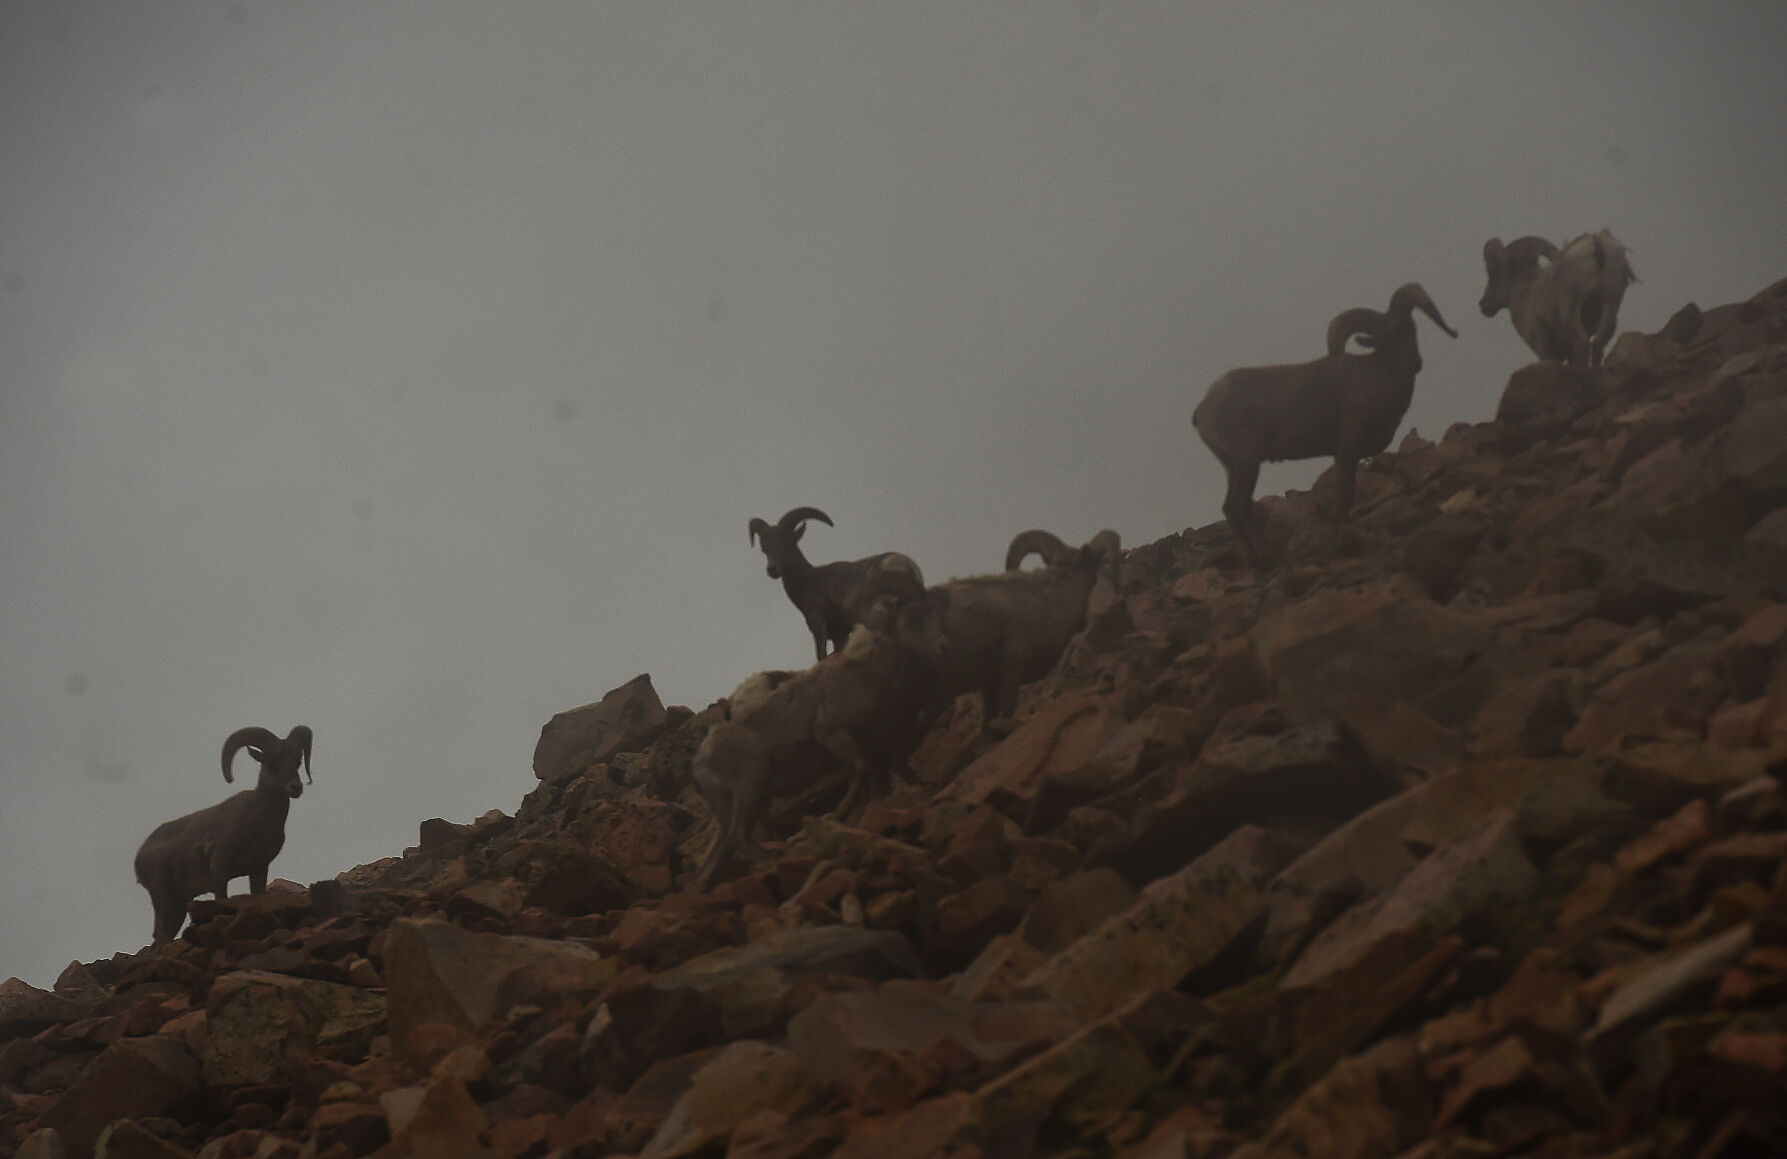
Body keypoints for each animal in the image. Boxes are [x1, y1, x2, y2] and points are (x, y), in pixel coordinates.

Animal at [133, 725, 313, 944]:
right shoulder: (220, 868)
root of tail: (140, 856)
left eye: (297, 761)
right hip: (162, 895)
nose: (295, 787)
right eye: (270, 761)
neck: (258, 823)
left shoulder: (259, 869)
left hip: (178, 905)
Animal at [692, 571, 950, 891]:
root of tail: (699, 764)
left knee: (712, 864)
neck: (867, 672)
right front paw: (838, 814)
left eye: (935, 613)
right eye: (913, 617)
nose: (944, 648)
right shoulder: (833, 735)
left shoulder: (875, 747)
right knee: (738, 838)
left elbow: (876, 780)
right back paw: (773, 860)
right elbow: (860, 772)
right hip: (751, 787)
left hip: (745, 803)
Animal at [748, 506, 926, 662]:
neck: (808, 580)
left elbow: (821, 656)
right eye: (764, 548)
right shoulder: (840, 634)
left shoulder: (819, 624)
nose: (772, 570)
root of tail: (906, 564)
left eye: (788, 543)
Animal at [1194, 283, 1457, 567]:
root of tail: (1205, 407)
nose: (1417, 364)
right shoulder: (1347, 450)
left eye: (1411, 328)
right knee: (1239, 505)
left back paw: (1253, 560)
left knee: (1230, 508)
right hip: (1248, 462)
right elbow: (1345, 493)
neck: (1380, 375)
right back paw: (1265, 556)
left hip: (1232, 466)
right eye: (1396, 332)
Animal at [1479, 229, 1635, 367]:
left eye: (1493, 272)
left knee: (1582, 345)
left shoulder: (1543, 345)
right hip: (1610, 304)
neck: (1527, 294)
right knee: (1598, 346)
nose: (1483, 305)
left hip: (1571, 310)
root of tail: (1596, 246)